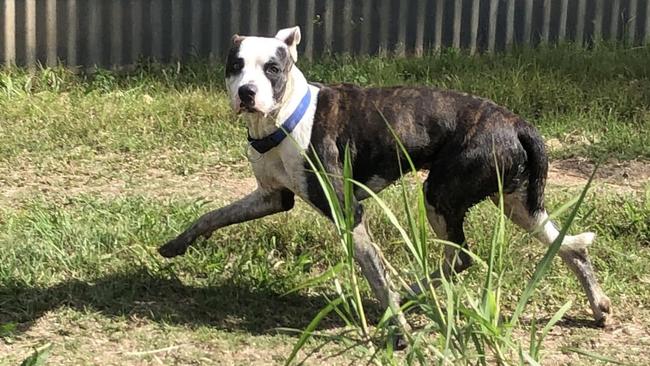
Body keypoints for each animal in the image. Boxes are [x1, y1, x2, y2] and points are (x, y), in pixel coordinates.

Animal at [159, 25, 612, 346]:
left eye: (272, 67)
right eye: (236, 65)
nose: (247, 93)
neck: (283, 118)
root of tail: (516, 122)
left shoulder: (348, 212)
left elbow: (376, 278)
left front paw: (398, 329)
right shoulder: (271, 198)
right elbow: (213, 216)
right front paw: (177, 244)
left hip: (441, 196)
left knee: (460, 257)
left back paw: (412, 291)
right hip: (517, 204)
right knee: (568, 246)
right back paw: (598, 305)